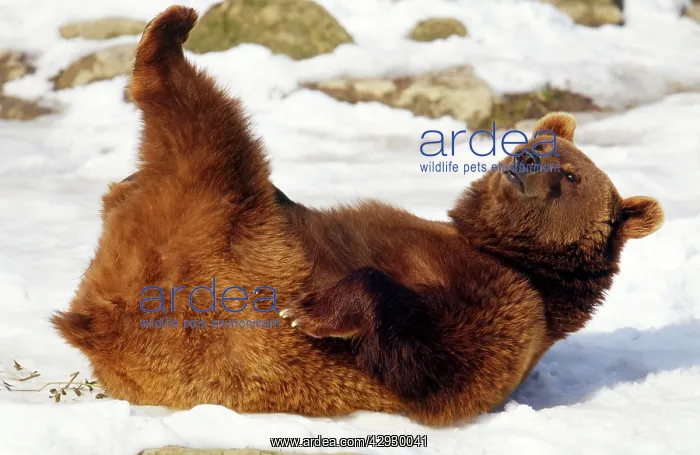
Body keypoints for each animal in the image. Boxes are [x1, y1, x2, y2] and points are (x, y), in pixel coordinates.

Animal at [52, 5, 664, 427]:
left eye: (573, 174)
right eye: (535, 142)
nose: (528, 158)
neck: (510, 255)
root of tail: (93, 318)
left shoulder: (508, 310)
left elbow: (436, 365)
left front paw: (309, 312)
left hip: (219, 216)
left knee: (205, 127)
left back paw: (168, 36)